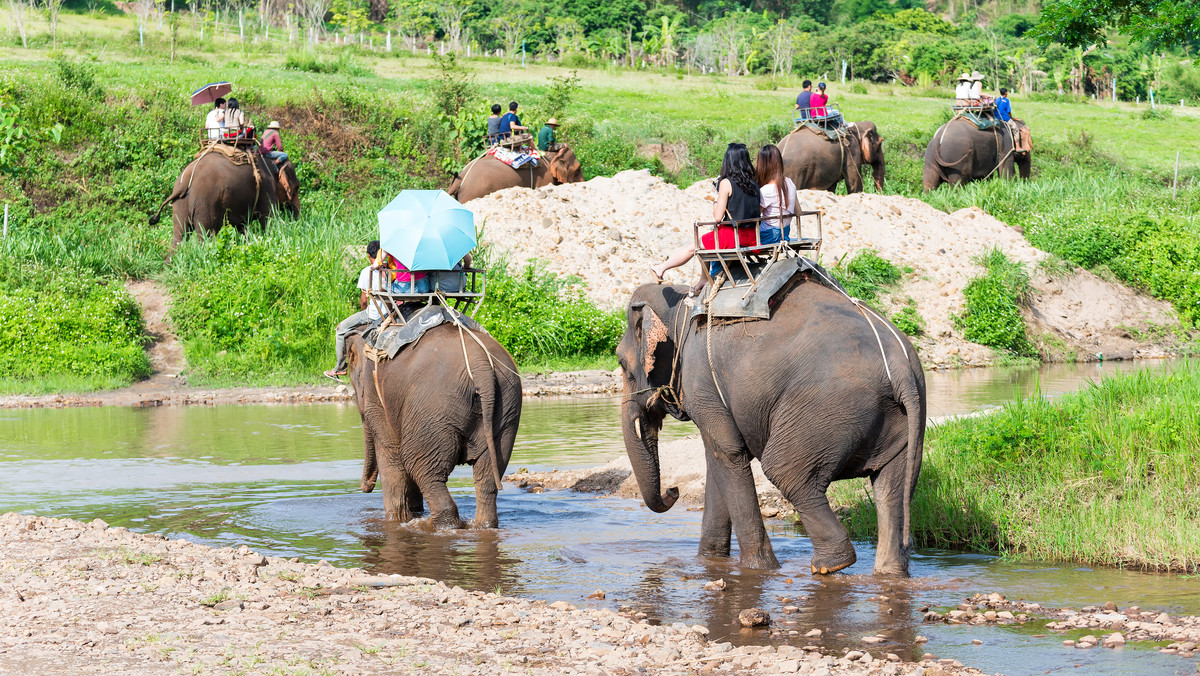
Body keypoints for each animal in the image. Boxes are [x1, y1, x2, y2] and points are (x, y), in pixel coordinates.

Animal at [150, 147, 300, 254]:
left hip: (180, 203)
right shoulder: (267, 187)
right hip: (205, 204)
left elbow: (242, 226)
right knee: (205, 235)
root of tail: (184, 182)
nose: (296, 221)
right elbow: (269, 220)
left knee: (179, 234)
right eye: (297, 187)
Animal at [343, 324, 520, 528]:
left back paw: (435, 525)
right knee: (488, 475)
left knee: (418, 464)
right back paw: (482, 525)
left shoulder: (377, 396)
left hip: (434, 409)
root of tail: (481, 367)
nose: (365, 487)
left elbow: (391, 454)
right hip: (506, 407)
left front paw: (396, 521)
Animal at [619, 278, 926, 576]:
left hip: (826, 409)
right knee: (892, 487)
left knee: (785, 472)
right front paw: (710, 561)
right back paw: (888, 573)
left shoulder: (700, 380)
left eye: (621, 364)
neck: (681, 305)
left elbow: (728, 454)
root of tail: (900, 368)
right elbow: (717, 459)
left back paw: (831, 564)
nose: (673, 490)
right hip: (900, 420)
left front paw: (758, 569)